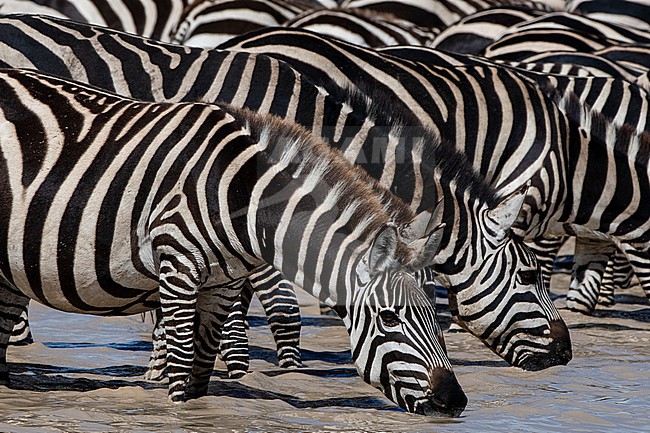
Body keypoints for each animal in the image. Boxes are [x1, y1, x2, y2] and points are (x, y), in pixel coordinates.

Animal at [0, 66, 470, 415]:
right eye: (390, 319)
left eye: (436, 318)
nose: (454, 402)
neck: (243, 197)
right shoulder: (177, 269)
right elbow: (182, 363)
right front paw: (177, 415)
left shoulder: (223, 284)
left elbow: (201, 369)